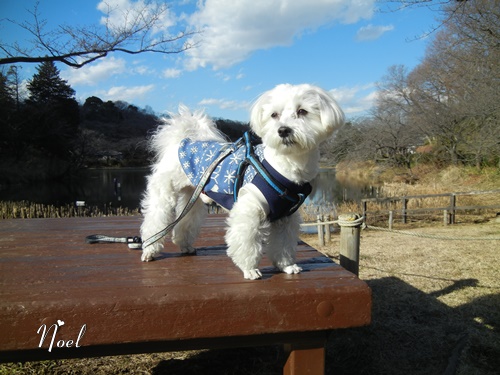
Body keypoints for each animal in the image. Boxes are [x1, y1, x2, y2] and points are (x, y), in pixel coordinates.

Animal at [140, 84, 344, 280]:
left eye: (302, 111)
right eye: (274, 115)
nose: (283, 130)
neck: (286, 166)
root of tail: (182, 140)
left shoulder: (286, 218)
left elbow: (283, 244)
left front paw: (286, 266)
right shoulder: (249, 210)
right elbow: (247, 242)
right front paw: (250, 269)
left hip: (192, 196)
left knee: (186, 221)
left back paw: (185, 246)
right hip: (163, 194)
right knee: (155, 220)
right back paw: (149, 250)